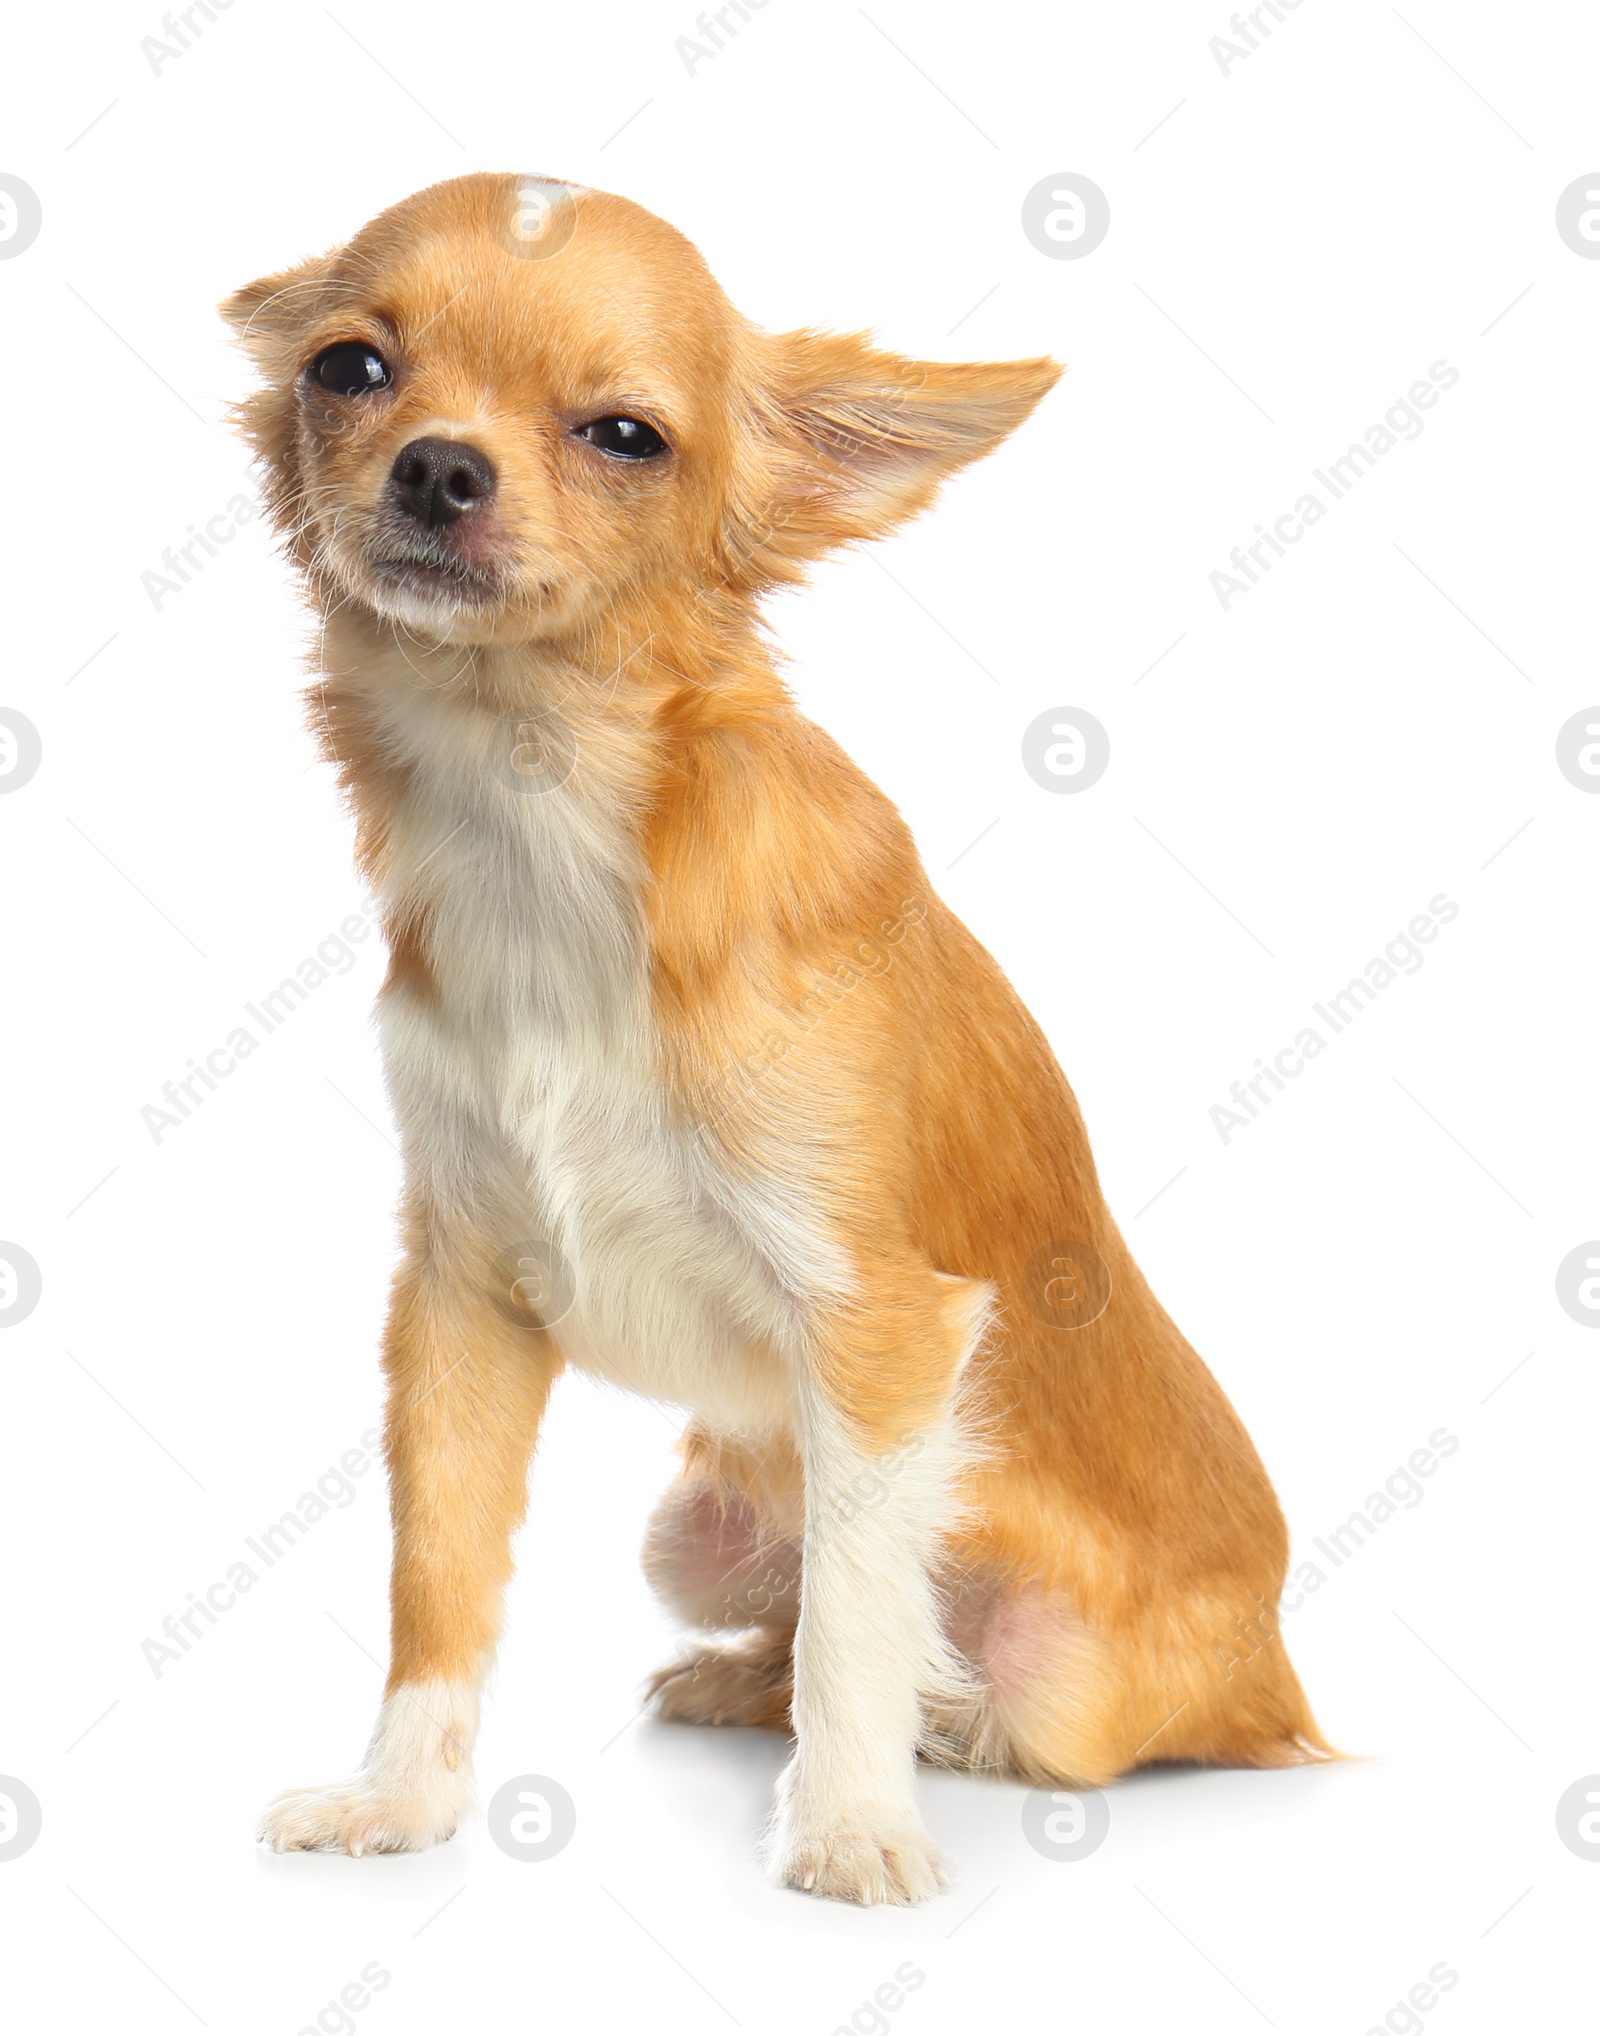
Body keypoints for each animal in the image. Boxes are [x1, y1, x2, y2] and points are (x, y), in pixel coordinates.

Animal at [223, 175, 1319, 1905]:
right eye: (351, 370)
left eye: (624, 435)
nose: (440, 464)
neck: (535, 800)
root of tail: (1287, 1676)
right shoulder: (461, 1300)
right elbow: (438, 1580)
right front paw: (400, 1800)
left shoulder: (881, 1332)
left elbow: (859, 1624)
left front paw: (852, 1828)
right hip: (697, 1526)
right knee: (791, 1617)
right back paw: (742, 1689)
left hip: (1074, 1673)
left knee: (991, 1685)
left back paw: (937, 1731)